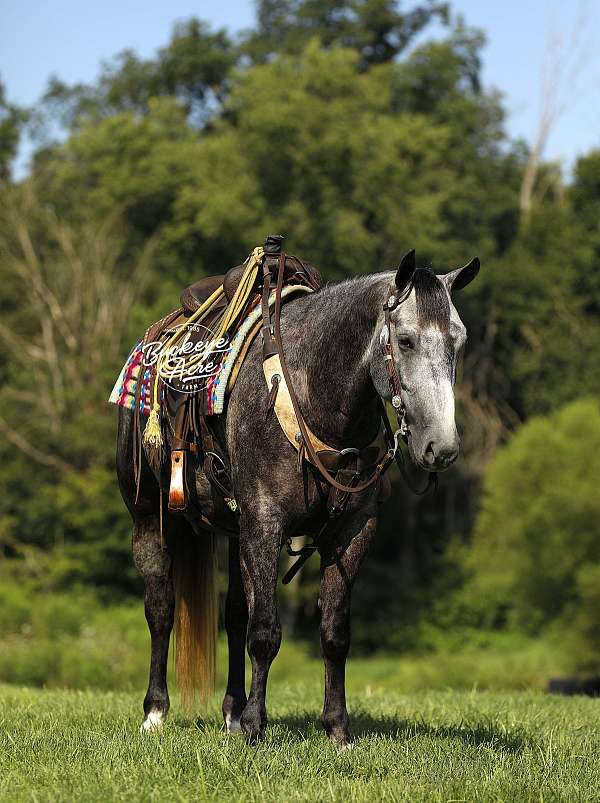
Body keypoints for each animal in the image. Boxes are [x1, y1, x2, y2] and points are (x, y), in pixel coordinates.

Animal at [115, 248, 479, 746]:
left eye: (458, 342)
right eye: (404, 341)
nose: (440, 447)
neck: (314, 398)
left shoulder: (351, 532)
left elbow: (333, 633)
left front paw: (337, 729)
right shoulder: (266, 524)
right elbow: (266, 632)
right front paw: (255, 727)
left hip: (235, 532)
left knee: (234, 615)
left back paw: (231, 711)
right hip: (149, 516)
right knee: (161, 610)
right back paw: (156, 712)